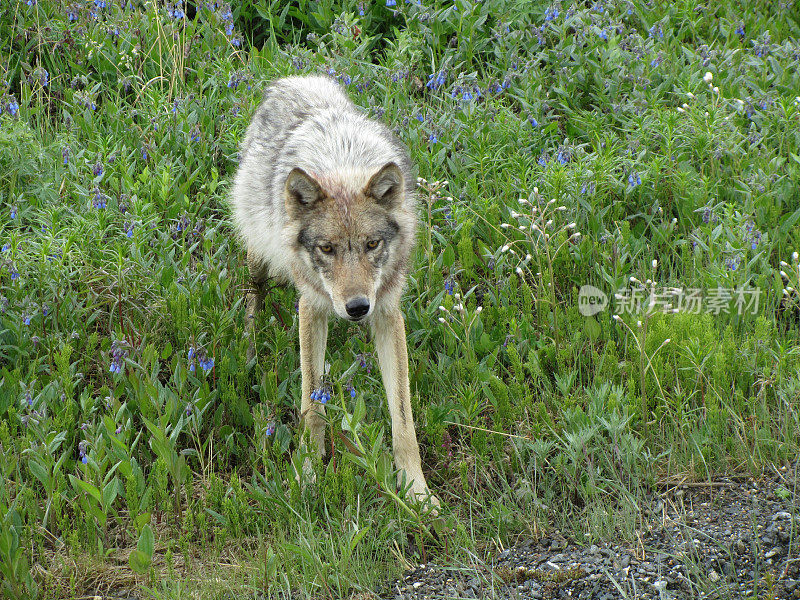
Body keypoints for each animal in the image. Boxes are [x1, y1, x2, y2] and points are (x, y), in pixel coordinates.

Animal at [228, 72, 440, 508]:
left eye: (372, 244)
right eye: (327, 248)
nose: (357, 308)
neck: (342, 165)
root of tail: (292, 79)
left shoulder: (388, 313)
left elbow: (403, 418)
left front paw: (416, 491)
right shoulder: (311, 307)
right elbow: (312, 406)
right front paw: (308, 477)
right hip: (257, 252)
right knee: (252, 294)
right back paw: (249, 349)